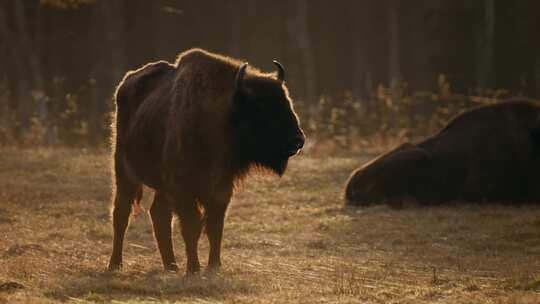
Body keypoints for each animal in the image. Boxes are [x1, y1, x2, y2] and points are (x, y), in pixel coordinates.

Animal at [108, 48, 304, 274]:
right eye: (261, 106)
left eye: (286, 100)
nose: (298, 140)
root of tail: (125, 83)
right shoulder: (184, 189)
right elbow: (192, 226)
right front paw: (194, 269)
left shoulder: (220, 189)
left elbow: (215, 227)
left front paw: (214, 266)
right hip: (124, 171)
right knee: (121, 213)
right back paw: (115, 264)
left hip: (162, 187)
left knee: (159, 215)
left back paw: (171, 266)